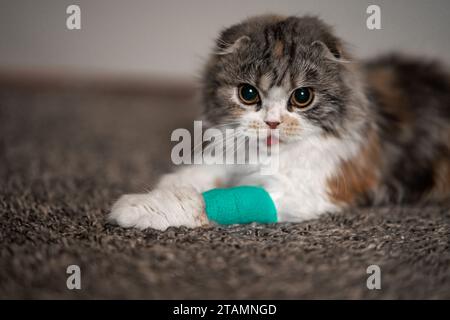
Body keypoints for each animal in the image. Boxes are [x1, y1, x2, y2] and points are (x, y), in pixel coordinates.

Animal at [108, 14, 450, 230]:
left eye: (302, 97)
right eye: (248, 94)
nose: (272, 122)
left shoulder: (303, 189)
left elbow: (204, 200)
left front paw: (138, 208)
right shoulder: (234, 155)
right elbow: (200, 173)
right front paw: (168, 184)